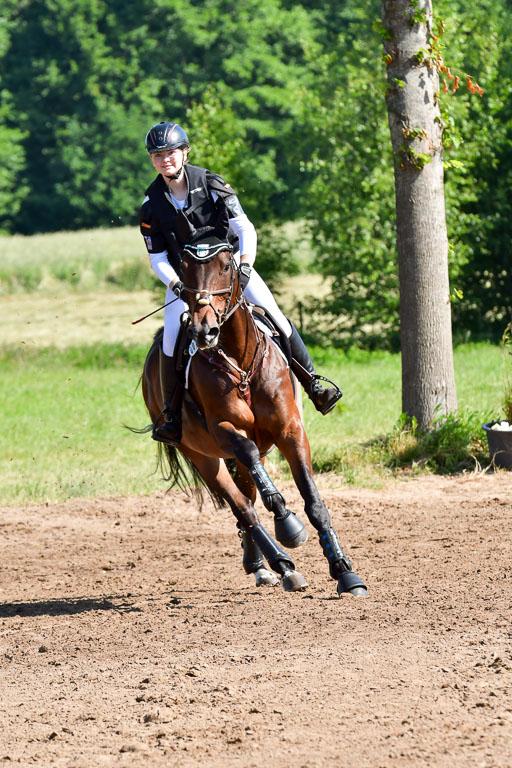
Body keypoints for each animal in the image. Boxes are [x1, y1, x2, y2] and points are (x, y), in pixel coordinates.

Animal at [141, 234, 367, 597]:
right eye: (184, 269)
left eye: (225, 267)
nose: (204, 331)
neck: (240, 360)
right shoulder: (224, 430)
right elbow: (257, 478)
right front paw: (286, 521)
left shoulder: (290, 430)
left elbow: (314, 502)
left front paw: (345, 572)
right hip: (203, 456)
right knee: (243, 507)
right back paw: (281, 563)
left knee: (247, 494)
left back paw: (262, 565)